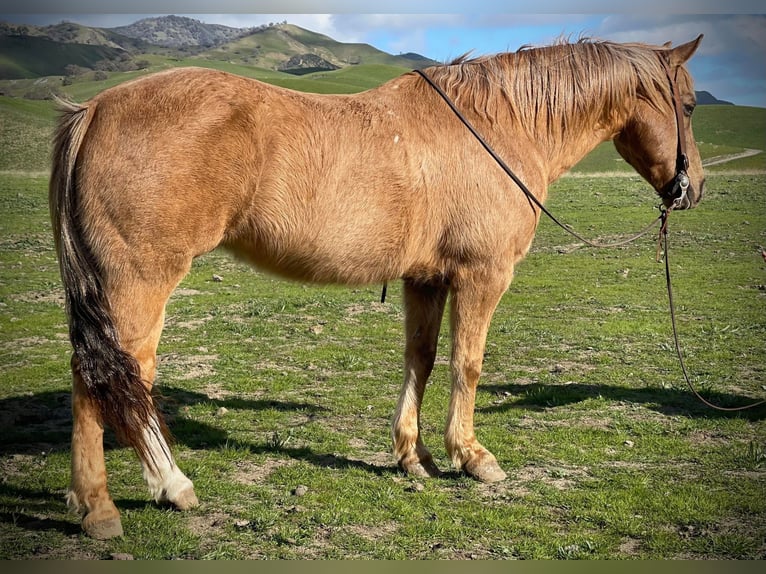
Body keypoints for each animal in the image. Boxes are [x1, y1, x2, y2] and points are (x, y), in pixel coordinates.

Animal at [49, 36, 708, 540]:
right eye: (691, 105)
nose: (693, 188)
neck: (499, 126)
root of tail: (96, 109)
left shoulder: (427, 279)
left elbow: (421, 358)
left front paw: (414, 457)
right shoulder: (483, 275)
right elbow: (467, 363)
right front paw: (473, 457)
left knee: (106, 378)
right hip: (139, 282)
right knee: (111, 377)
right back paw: (127, 500)